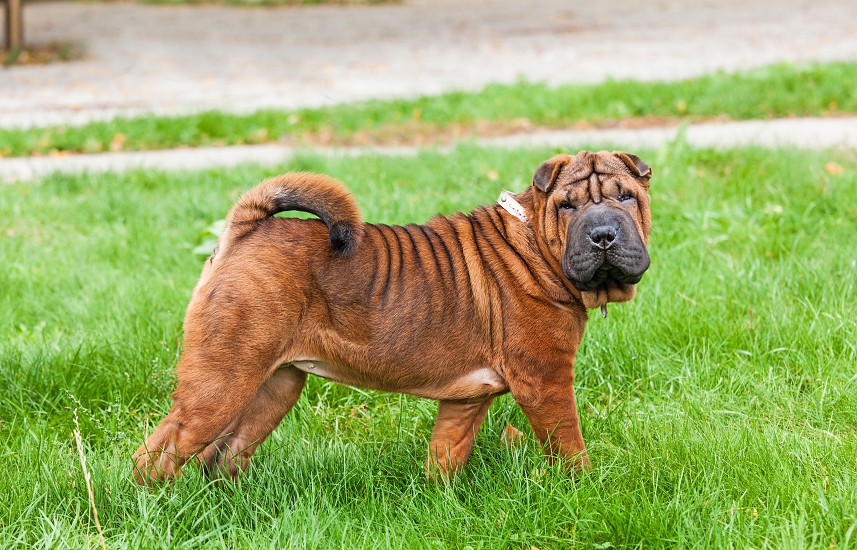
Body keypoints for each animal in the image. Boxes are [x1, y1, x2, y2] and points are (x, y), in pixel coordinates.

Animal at [132, 150, 648, 484]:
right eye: (567, 206)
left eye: (626, 198)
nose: (603, 234)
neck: (536, 245)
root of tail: (247, 231)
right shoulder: (546, 381)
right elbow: (569, 445)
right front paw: (587, 491)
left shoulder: (467, 399)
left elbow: (447, 451)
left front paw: (438, 500)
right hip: (221, 382)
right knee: (160, 450)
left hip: (274, 386)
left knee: (224, 456)